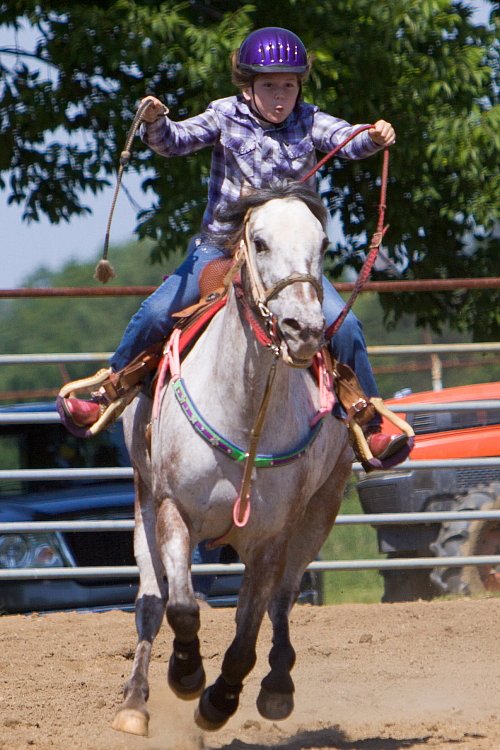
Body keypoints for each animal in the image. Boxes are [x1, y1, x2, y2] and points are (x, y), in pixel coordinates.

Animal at [112, 184, 354, 740]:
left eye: (323, 244)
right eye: (259, 242)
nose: (303, 329)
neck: (246, 409)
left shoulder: (272, 537)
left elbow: (247, 635)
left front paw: (218, 701)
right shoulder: (174, 511)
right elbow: (182, 606)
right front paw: (186, 675)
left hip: (320, 512)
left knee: (282, 599)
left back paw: (277, 687)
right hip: (143, 502)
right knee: (151, 601)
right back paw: (135, 703)